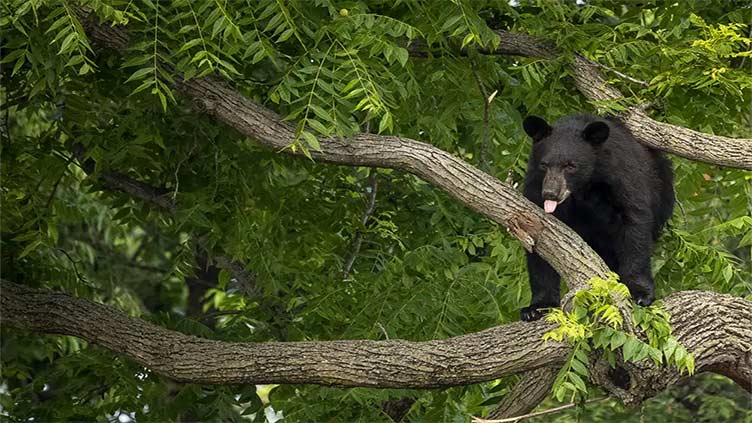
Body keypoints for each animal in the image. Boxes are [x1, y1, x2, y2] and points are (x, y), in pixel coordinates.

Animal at [520, 115, 672, 322]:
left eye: (570, 165)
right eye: (544, 165)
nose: (550, 194)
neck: (584, 187)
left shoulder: (621, 178)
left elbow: (634, 225)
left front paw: (639, 293)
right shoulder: (535, 188)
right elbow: (539, 244)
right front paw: (537, 307)